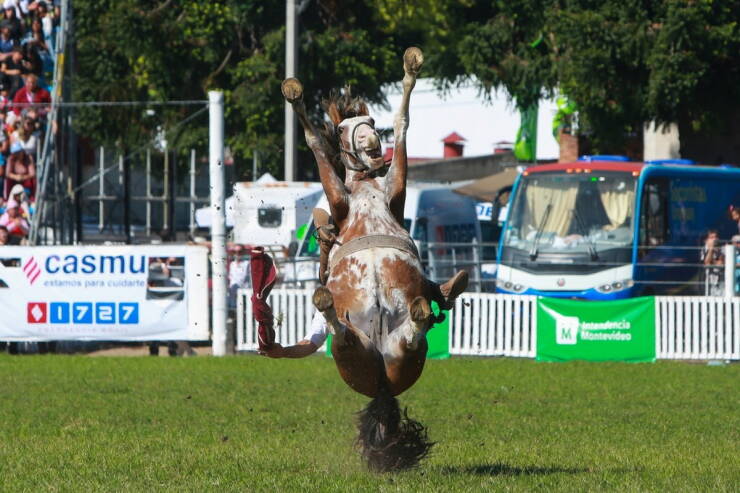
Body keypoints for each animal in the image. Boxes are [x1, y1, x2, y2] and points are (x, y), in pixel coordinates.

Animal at [281, 47, 467, 471]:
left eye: (369, 123)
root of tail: (382, 389)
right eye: (345, 127)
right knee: (343, 330)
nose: (369, 143)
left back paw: (423, 307)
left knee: (411, 330)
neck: (366, 189)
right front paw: (295, 95)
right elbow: (315, 141)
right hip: (358, 355)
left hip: (396, 357)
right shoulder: (344, 197)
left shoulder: (393, 191)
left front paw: (411, 68)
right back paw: (328, 303)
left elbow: (401, 123)